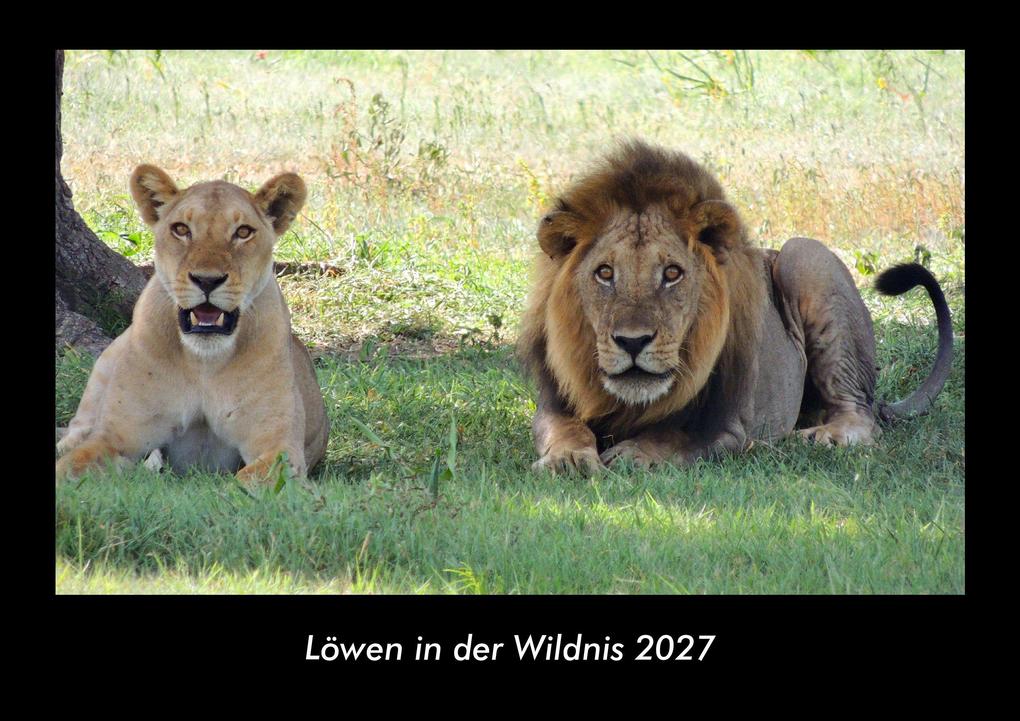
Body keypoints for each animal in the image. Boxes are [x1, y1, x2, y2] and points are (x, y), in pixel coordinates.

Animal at [56, 165, 329, 485]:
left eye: (243, 232)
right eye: (181, 229)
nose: (207, 280)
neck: (203, 363)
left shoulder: (279, 448)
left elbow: (248, 482)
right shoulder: (115, 437)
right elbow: (69, 467)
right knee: (74, 434)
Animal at [518, 141, 954, 473]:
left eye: (672, 273)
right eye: (605, 273)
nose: (632, 342)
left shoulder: (729, 425)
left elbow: (674, 436)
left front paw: (634, 454)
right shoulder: (553, 404)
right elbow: (565, 429)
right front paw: (569, 459)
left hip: (805, 256)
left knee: (861, 417)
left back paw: (817, 438)